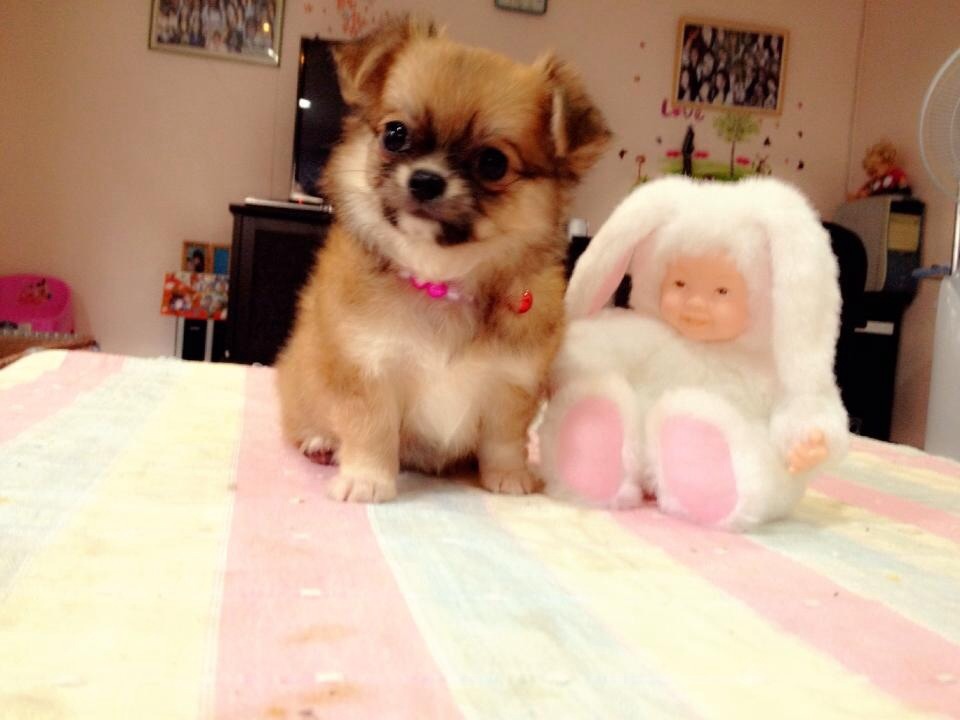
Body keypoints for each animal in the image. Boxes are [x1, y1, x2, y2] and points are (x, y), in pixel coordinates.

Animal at [275, 17, 610, 502]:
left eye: (492, 163)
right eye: (395, 134)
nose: (426, 179)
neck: (441, 280)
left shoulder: (511, 384)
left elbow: (504, 439)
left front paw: (508, 476)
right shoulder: (366, 370)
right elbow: (370, 430)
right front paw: (366, 480)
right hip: (302, 382)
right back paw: (319, 442)